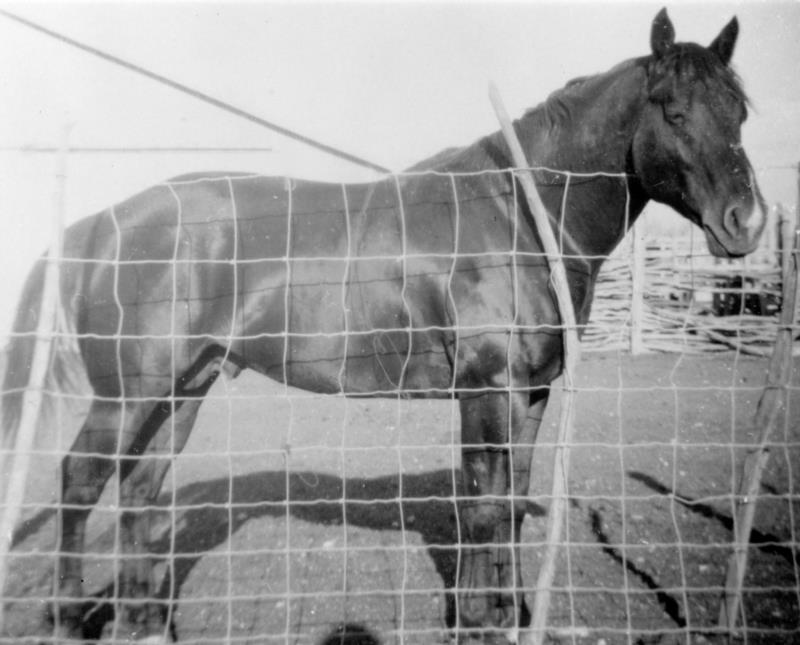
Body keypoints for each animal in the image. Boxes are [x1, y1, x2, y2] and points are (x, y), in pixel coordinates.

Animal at [2, 8, 765, 644]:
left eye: (738, 112)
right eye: (673, 110)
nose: (746, 222)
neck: (519, 214)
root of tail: (99, 223)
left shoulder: (531, 393)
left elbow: (511, 504)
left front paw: (509, 612)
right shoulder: (486, 390)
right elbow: (482, 509)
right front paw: (480, 623)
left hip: (184, 389)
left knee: (139, 491)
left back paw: (145, 623)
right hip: (128, 394)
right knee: (79, 481)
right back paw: (67, 617)